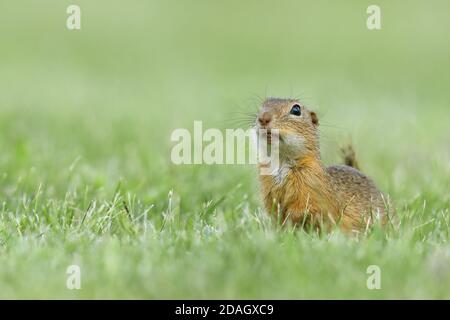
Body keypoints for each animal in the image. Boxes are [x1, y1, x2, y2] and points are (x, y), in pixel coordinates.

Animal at [256, 97, 390, 232]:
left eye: (296, 110)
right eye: (261, 106)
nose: (263, 118)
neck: (281, 161)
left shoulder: (312, 189)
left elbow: (305, 210)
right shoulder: (269, 193)